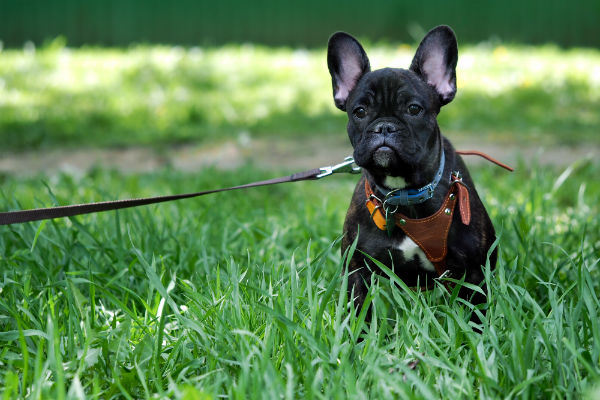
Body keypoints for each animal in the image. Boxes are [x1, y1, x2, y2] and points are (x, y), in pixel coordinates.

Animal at [328, 25, 496, 312]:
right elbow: (359, 308)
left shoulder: (473, 273)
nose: (384, 126)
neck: (403, 193)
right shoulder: (357, 269)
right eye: (359, 111)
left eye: (414, 109)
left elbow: (476, 312)